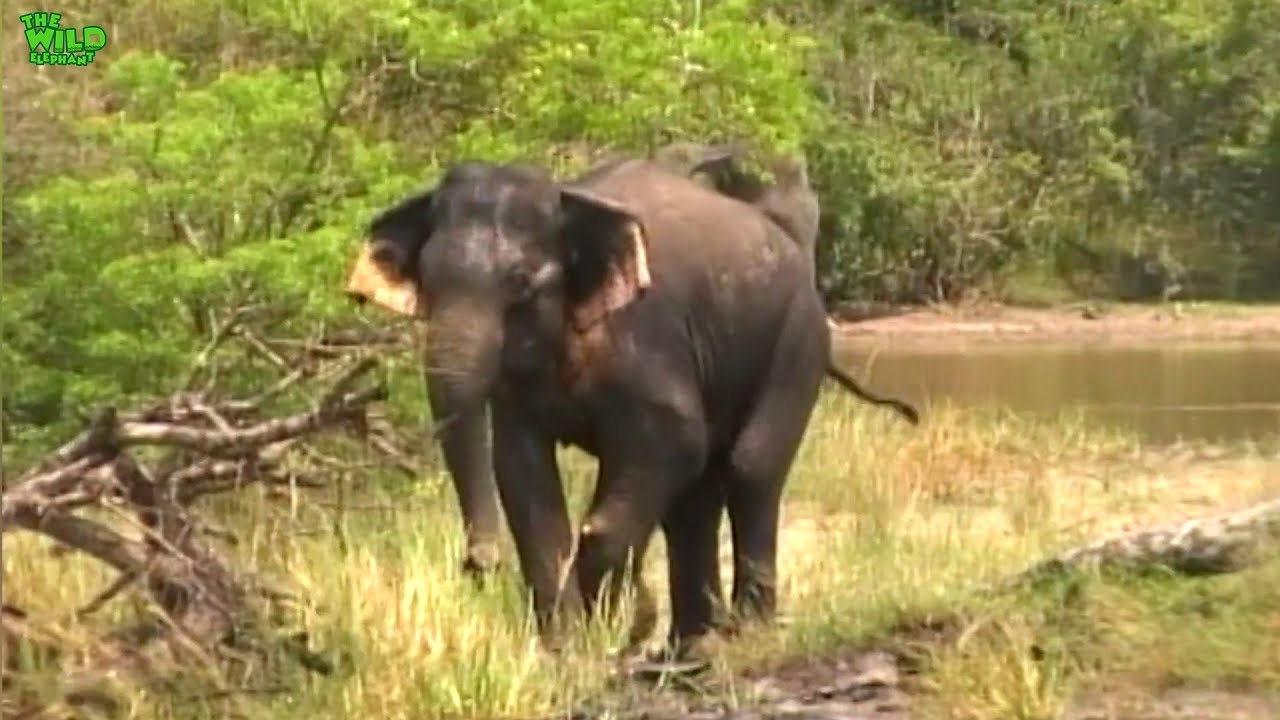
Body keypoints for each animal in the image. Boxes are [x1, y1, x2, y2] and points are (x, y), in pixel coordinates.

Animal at [343, 144, 919, 594]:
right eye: (427, 279)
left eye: (521, 285)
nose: (477, 564)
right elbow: (522, 477)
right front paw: (565, 650)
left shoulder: (649, 340)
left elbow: (674, 443)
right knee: (696, 498)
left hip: (797, 338)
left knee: (749, 467)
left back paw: (743, 634)